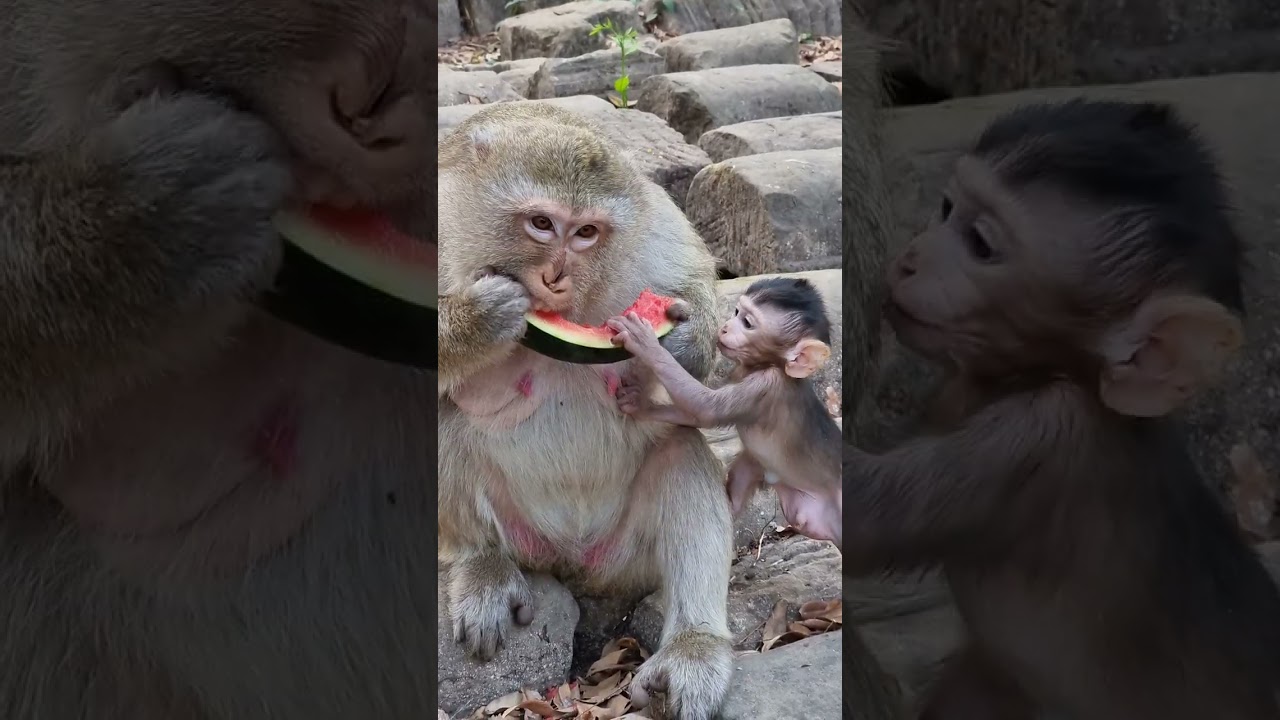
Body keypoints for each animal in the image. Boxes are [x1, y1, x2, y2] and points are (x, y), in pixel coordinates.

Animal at [436, 102, 736, 720]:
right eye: (541, 224)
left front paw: (683, 340)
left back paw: (695, 646)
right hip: (525, 540)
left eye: (587, 233)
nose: (555, 277)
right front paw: (477, 320)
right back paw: (479, 564)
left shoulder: (654, 228)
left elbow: (693, 279)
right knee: (445, 424)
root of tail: (573, 562)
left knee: (680, 448)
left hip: (625, 559)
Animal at [607, 276, 843, 546]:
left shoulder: (766, 386)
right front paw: (641, 404)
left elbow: (706, 408)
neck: (769, 364)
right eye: (737, 312)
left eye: (747, 323)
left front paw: (645, 342)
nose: (726, 327)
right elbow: (694, 413)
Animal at [841, 98, 1280, 719]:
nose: (908, 261)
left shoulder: (1044, 436)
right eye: (947, 209)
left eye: (980, 243)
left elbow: (855, 510)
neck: (1058, 374)